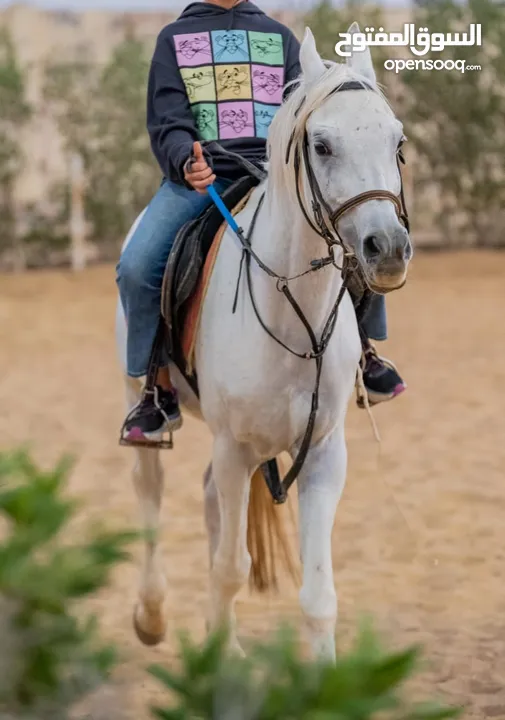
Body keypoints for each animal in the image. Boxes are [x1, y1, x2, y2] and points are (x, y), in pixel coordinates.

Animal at [116, 25, 412, 660]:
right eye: (321, 145)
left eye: (397, 143)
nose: (388, 250)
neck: (291, 314)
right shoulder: (234, 448)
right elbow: (232, 567)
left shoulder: (323, 453)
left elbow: (318, 597)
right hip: (144, 401)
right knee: (149, 491)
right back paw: (152, 616)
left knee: (206, 501)